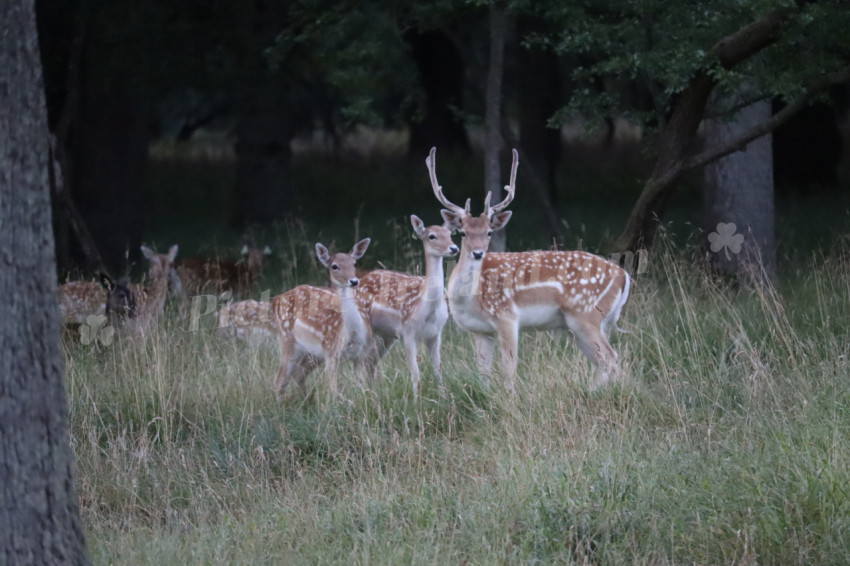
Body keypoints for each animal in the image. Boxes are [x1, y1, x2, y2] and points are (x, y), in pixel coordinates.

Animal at [271, 238, 372, 400]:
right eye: (335, 266)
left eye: (354, 263)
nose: (354, 281)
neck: (352, 332)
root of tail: (277, 299)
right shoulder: (332, 351)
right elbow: (334, 389)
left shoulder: (363, 353)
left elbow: (363, 387)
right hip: (287, 339)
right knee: (280, 380)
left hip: (313, 351)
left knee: (298, 373)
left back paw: (305, 399)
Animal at [355, 216, 458, 399]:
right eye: (432, 236)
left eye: (449, 234)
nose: (454, 248)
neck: (428, 307)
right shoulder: (408, 331)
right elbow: (415, 374)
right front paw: (416, 402)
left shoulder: (435, 333)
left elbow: (438, 370)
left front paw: (444, 398)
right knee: (358, 362)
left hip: (386, 335)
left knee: (370, 362)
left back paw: (373, 393)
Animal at [426, 147, 631, 391]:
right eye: (463, 232)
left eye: (489, 232)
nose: (477, 253)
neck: (471, 300)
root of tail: (624, 276)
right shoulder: (481, 331)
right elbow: (483, 373)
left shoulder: (507, 317)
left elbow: (509, 367)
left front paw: (510, 397)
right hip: (579, 325)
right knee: (602, 362)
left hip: (586, 313)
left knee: (610, 358)